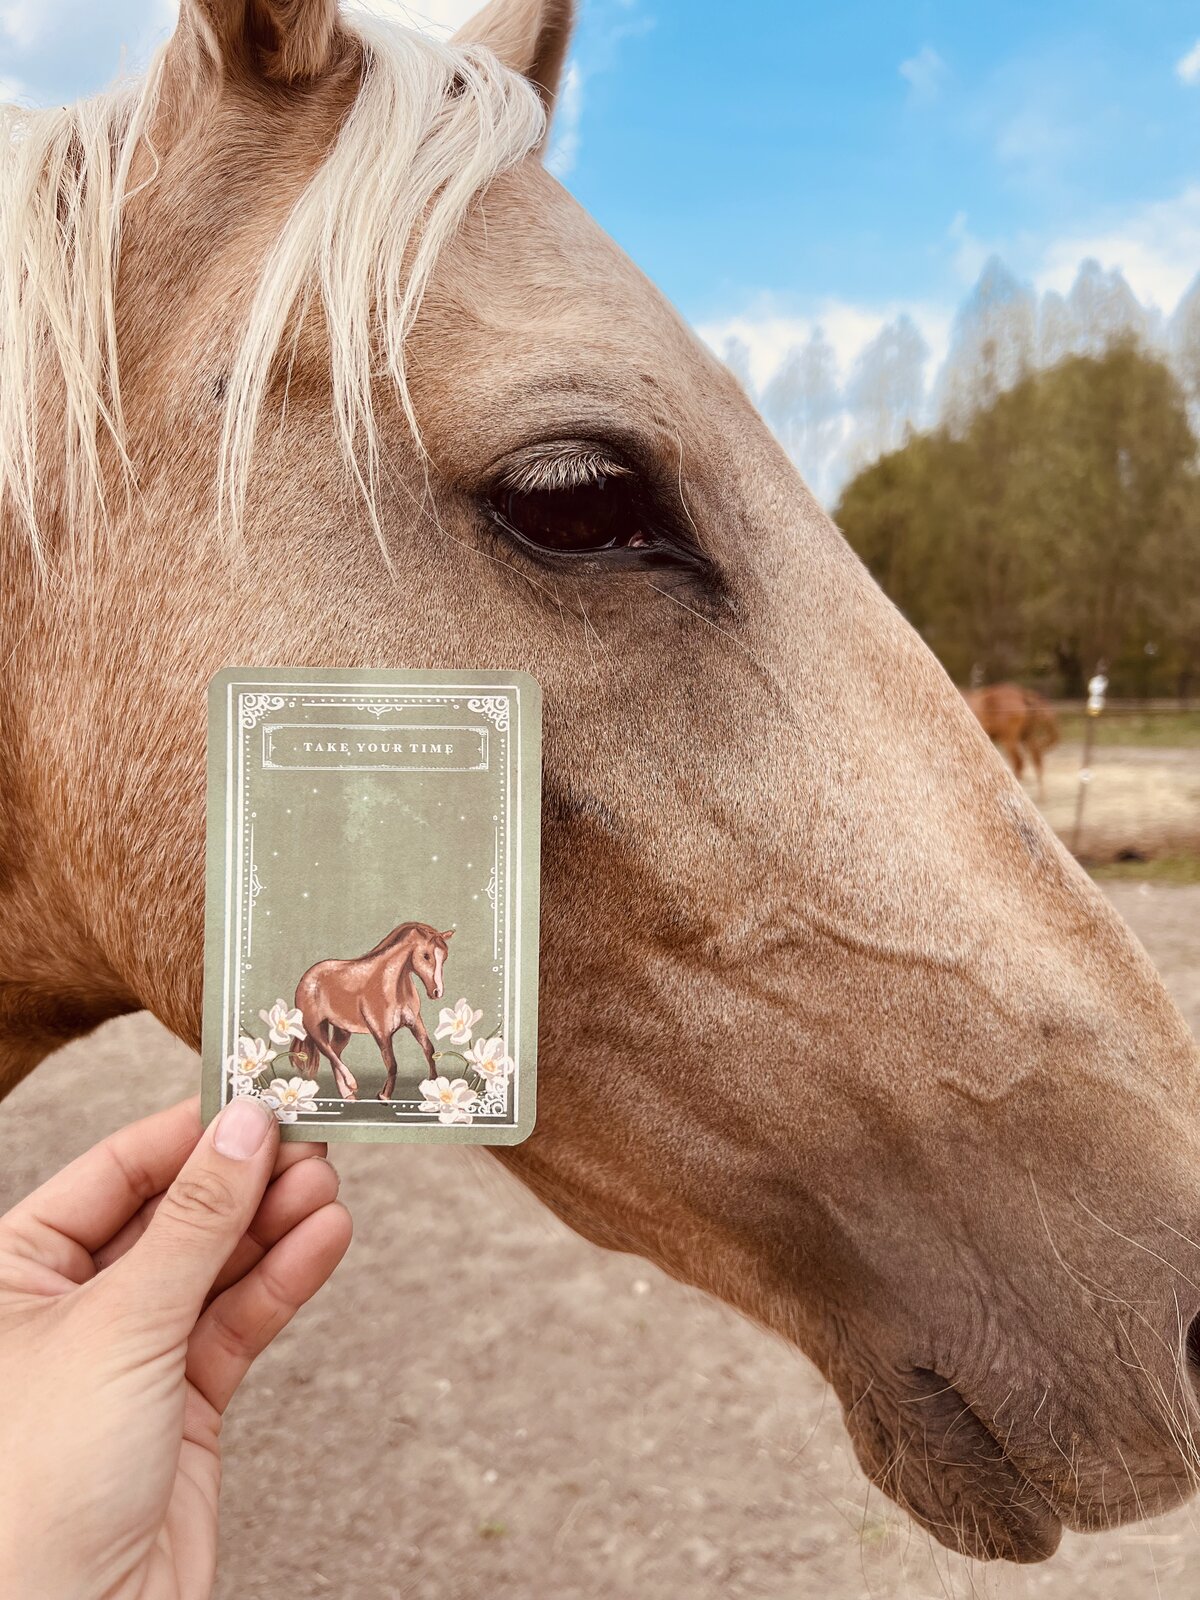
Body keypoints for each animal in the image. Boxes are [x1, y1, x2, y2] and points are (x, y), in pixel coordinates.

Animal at [290, 922, 452, 1101]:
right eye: (426, 956)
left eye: (444, 957)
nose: (437, 992)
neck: (391, 985)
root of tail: (308, 976)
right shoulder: (381, 1032)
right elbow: (392, 1064)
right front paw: (384, 1096)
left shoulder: (415, 1023)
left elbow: (429, 1050)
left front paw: (434, 1085)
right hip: (315, 1026)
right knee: (327, 1050)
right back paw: (352, 1083)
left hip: (342, 1030)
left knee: (334, 1051)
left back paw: (348, 1095)